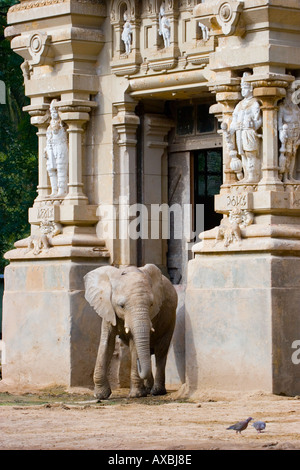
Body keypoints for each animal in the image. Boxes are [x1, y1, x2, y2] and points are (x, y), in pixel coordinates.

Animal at [83, 262, 177, 398]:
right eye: (121, 306)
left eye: (151, 305)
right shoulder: (107, 308)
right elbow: (107, 343)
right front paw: (101, 395)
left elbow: (134, 345)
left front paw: (136, 395)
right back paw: (148, 389)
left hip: (170, 320)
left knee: (161, 352)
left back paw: (156, 391)